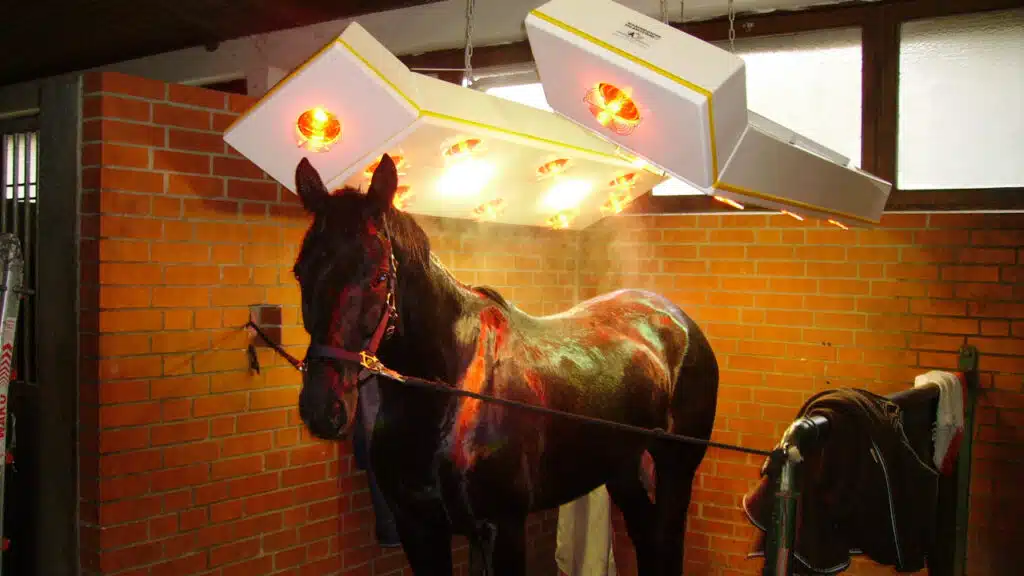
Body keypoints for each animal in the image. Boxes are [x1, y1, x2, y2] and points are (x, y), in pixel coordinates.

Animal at [290, 153, 720, 576]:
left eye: (380, 277)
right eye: (300, 272)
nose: (323, 408)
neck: (452, 393)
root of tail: (675, 318)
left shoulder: (503, 528)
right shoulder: (419, 529)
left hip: (676, 469)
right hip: (622, 468)